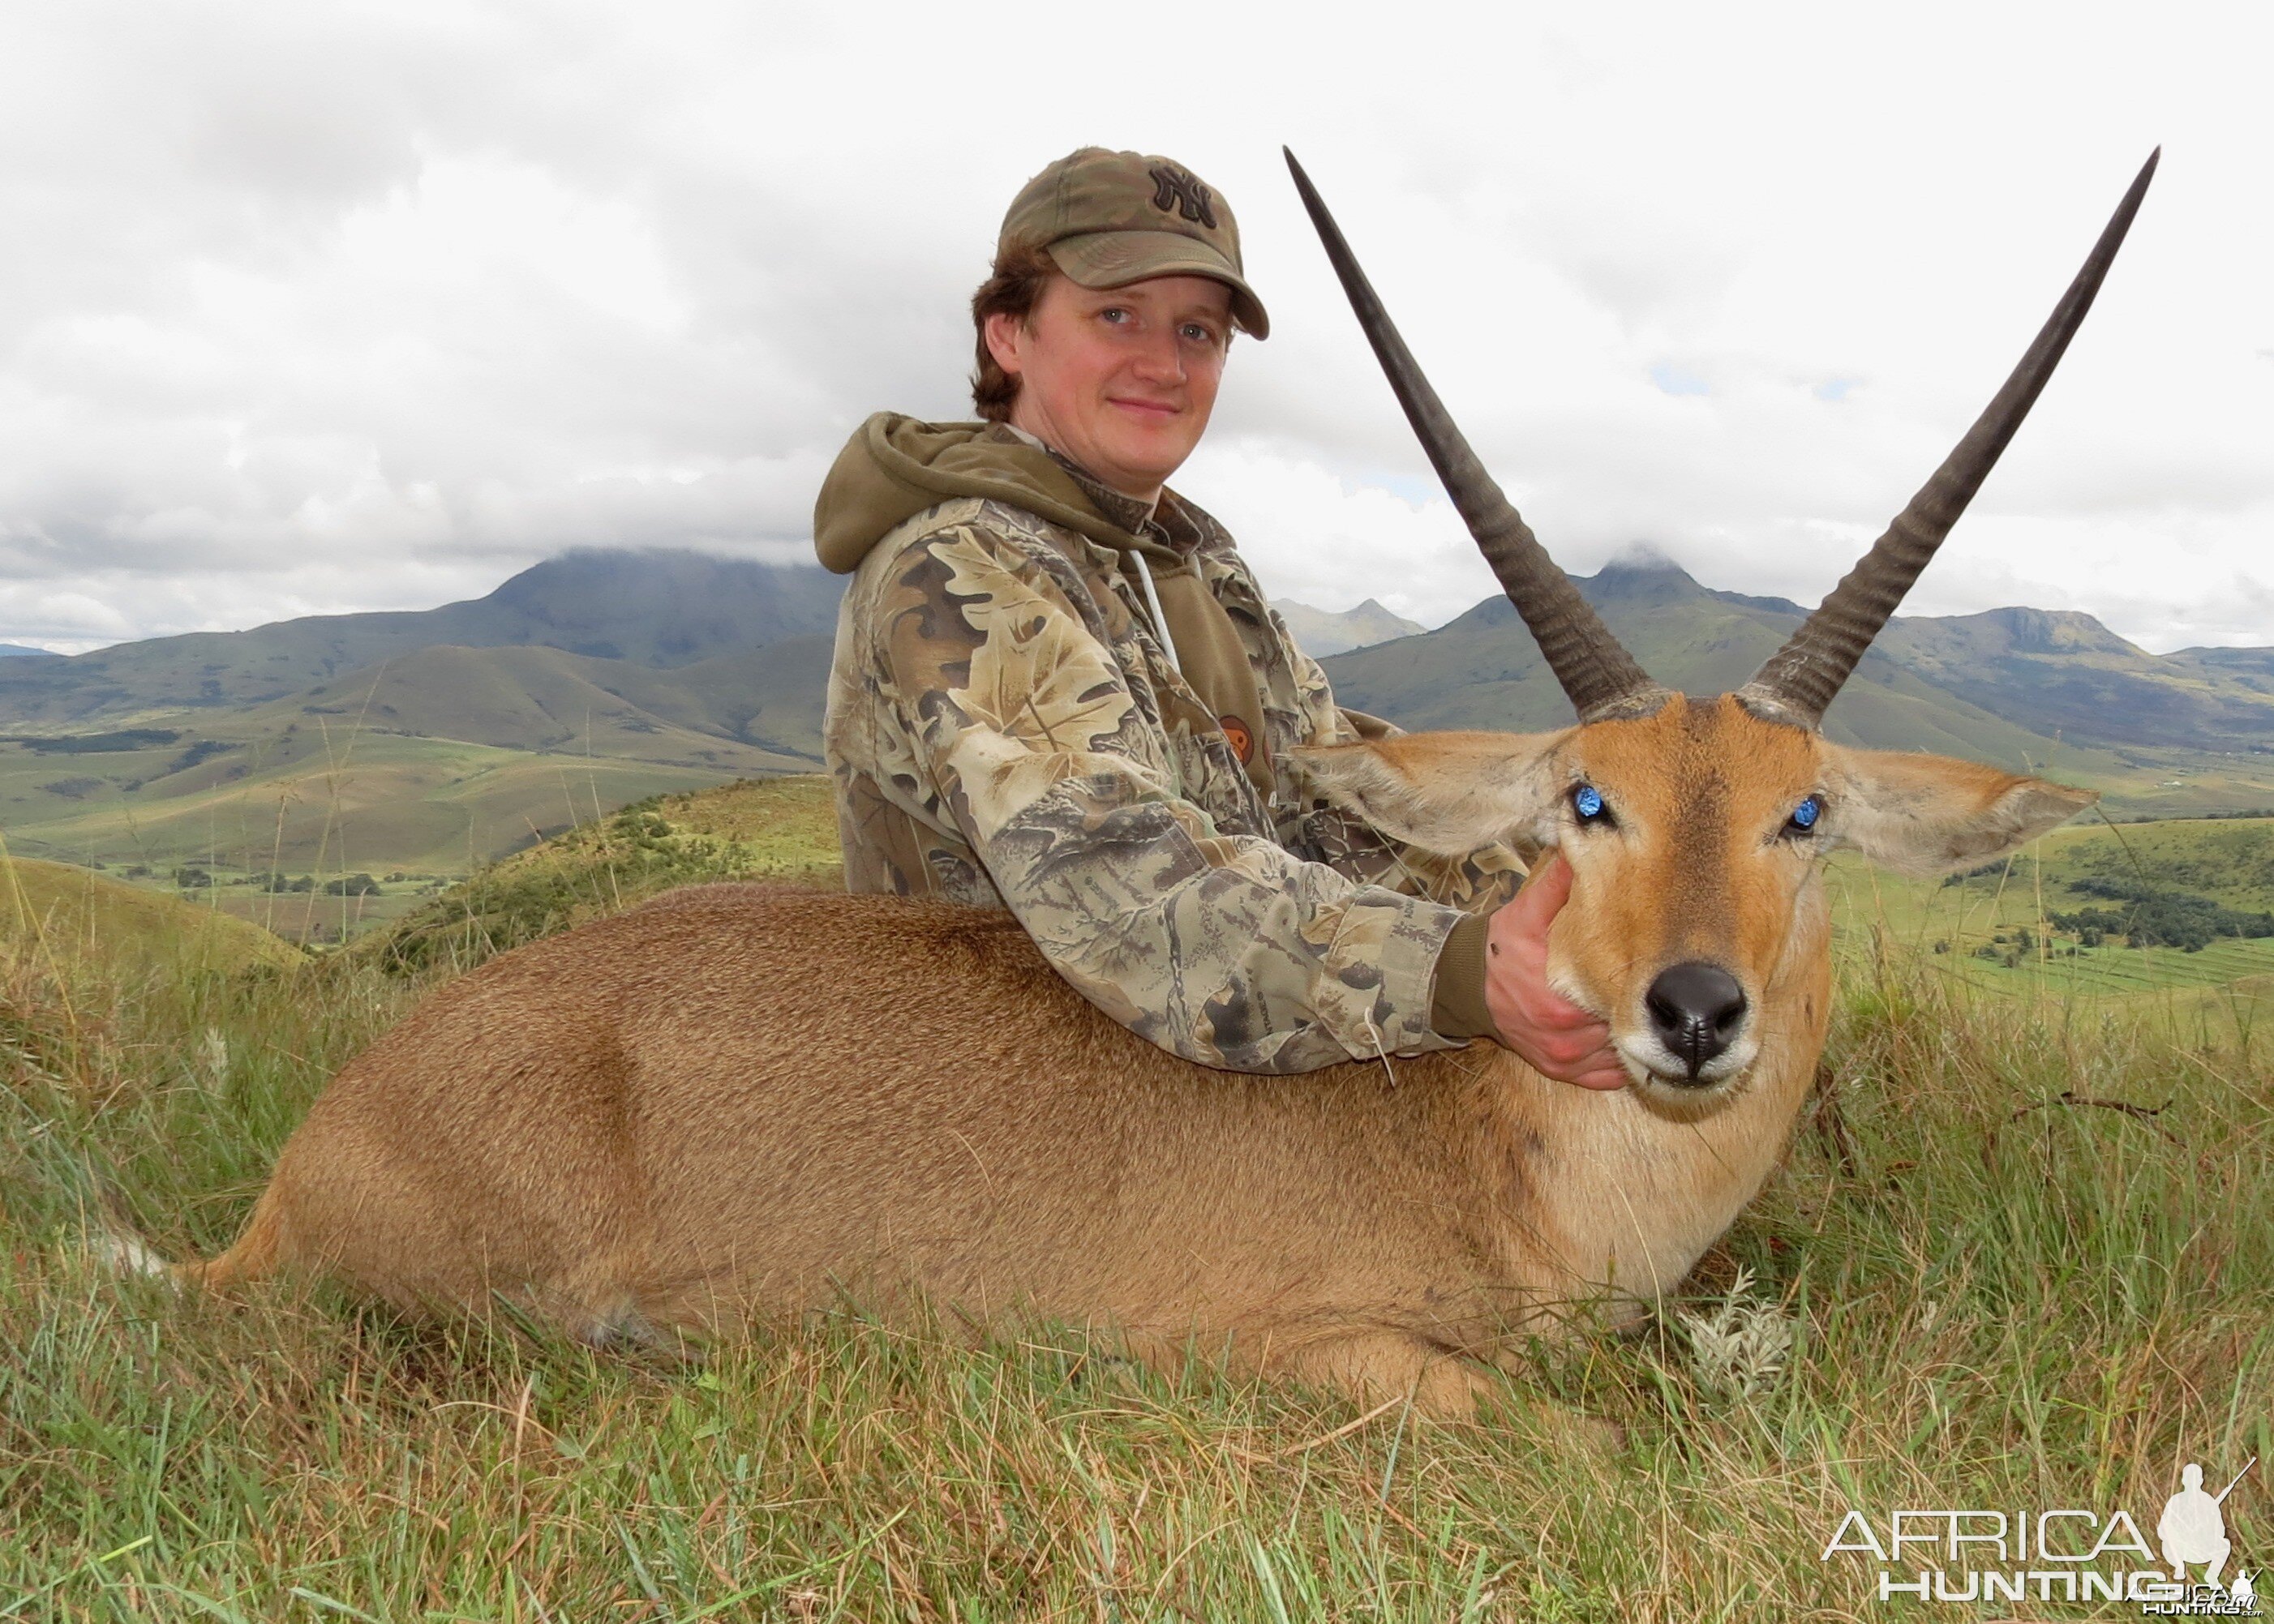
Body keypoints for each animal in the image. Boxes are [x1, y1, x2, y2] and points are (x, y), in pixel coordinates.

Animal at [142, 154, 2146, 1419]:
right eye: (1586, 803)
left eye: (1799, 813)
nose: (1694, 1010)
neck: (1486, 1138)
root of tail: (306, 1159)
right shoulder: (1304, 1350)